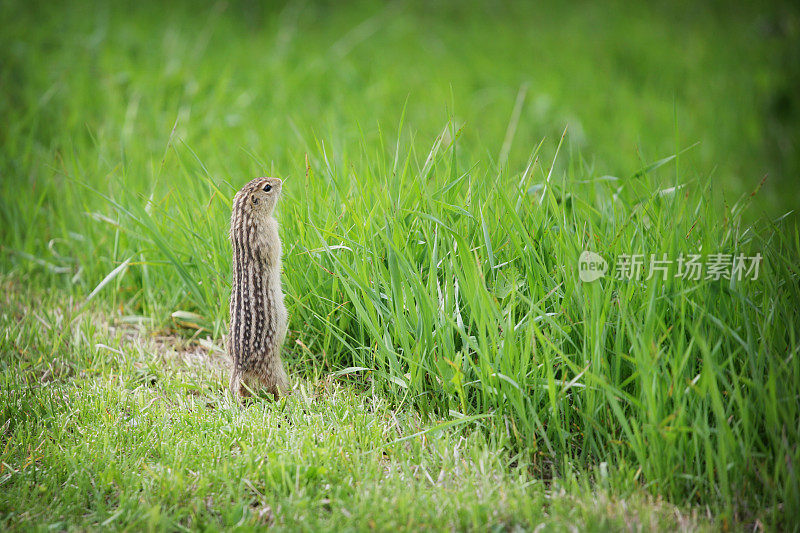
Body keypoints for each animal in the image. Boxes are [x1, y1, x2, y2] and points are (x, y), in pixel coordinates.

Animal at [228, 177, 290, 396]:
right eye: (267, 188)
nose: (279, 180)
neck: (244, 218)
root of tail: (239, 364)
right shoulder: (268, 234)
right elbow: (276, 252)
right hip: (272, 366)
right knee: (275, 384)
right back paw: (288, 395)